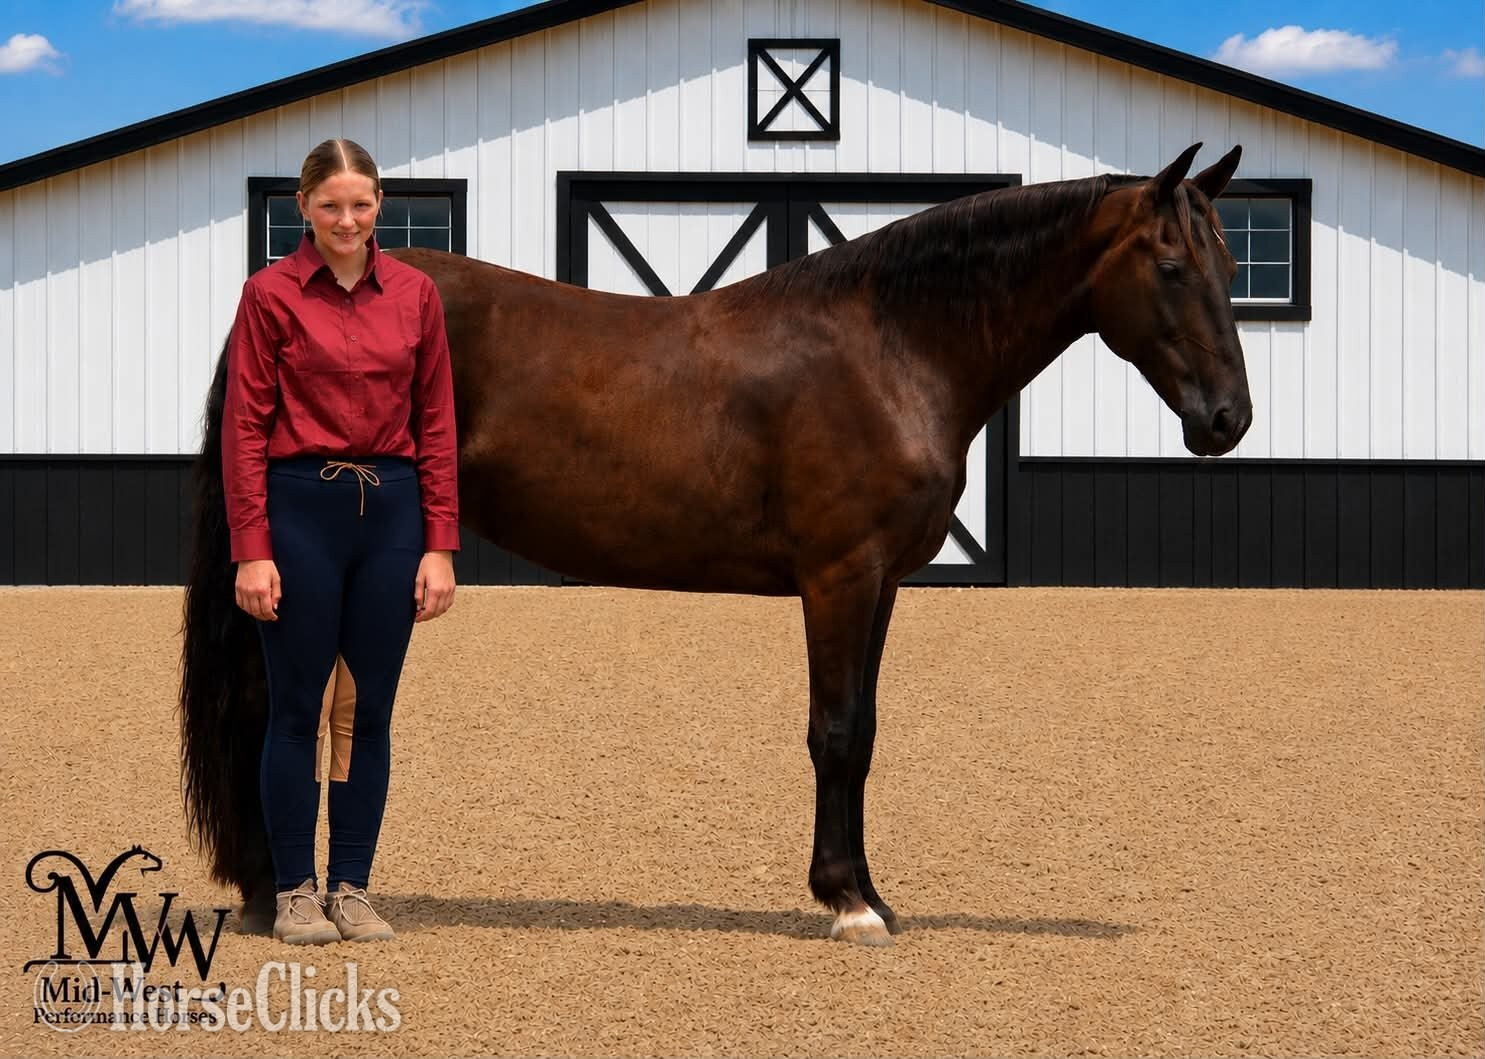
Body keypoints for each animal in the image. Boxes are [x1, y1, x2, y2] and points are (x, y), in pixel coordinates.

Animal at [180, 142, 1250, 947]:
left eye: (1233, 267)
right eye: (1169, 266)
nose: (1227, 419)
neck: (890, 347)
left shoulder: (882, 586)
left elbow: (866, 732)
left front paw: (869, 891)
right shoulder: (838, 578)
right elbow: (835, 732)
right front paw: (848, 902)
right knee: (272, 709)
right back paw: (274, 894)